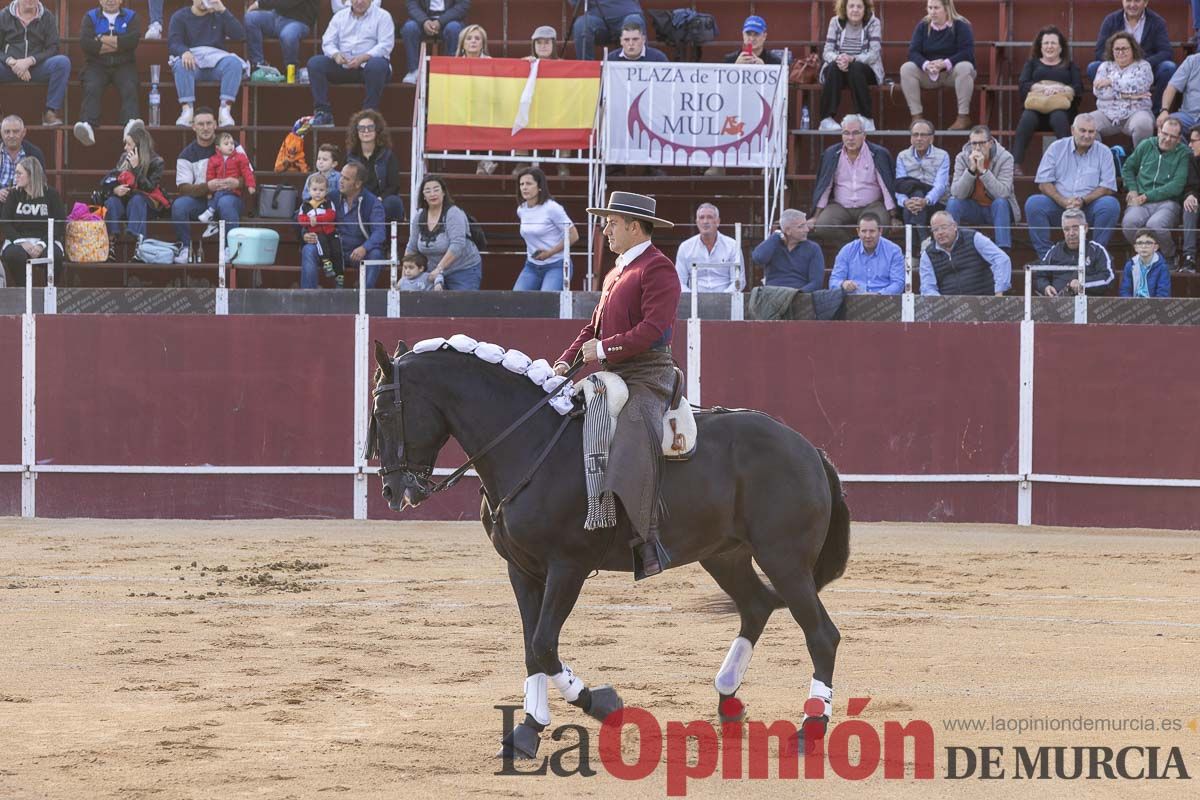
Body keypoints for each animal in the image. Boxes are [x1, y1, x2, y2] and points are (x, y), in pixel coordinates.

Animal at [369, 340, 849, 762]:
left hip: (784, 559)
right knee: (756, 606)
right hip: (724, 554)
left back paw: (810, 728)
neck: (530, 442)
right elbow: (531, 648)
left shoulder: (568, 567)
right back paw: (728, 700)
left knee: (821, 635)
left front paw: (602, 704)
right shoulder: (522, 570)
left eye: (385, 412)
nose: (393, 491)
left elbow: (544, 644)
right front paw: (527, 732)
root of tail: (808, 448)